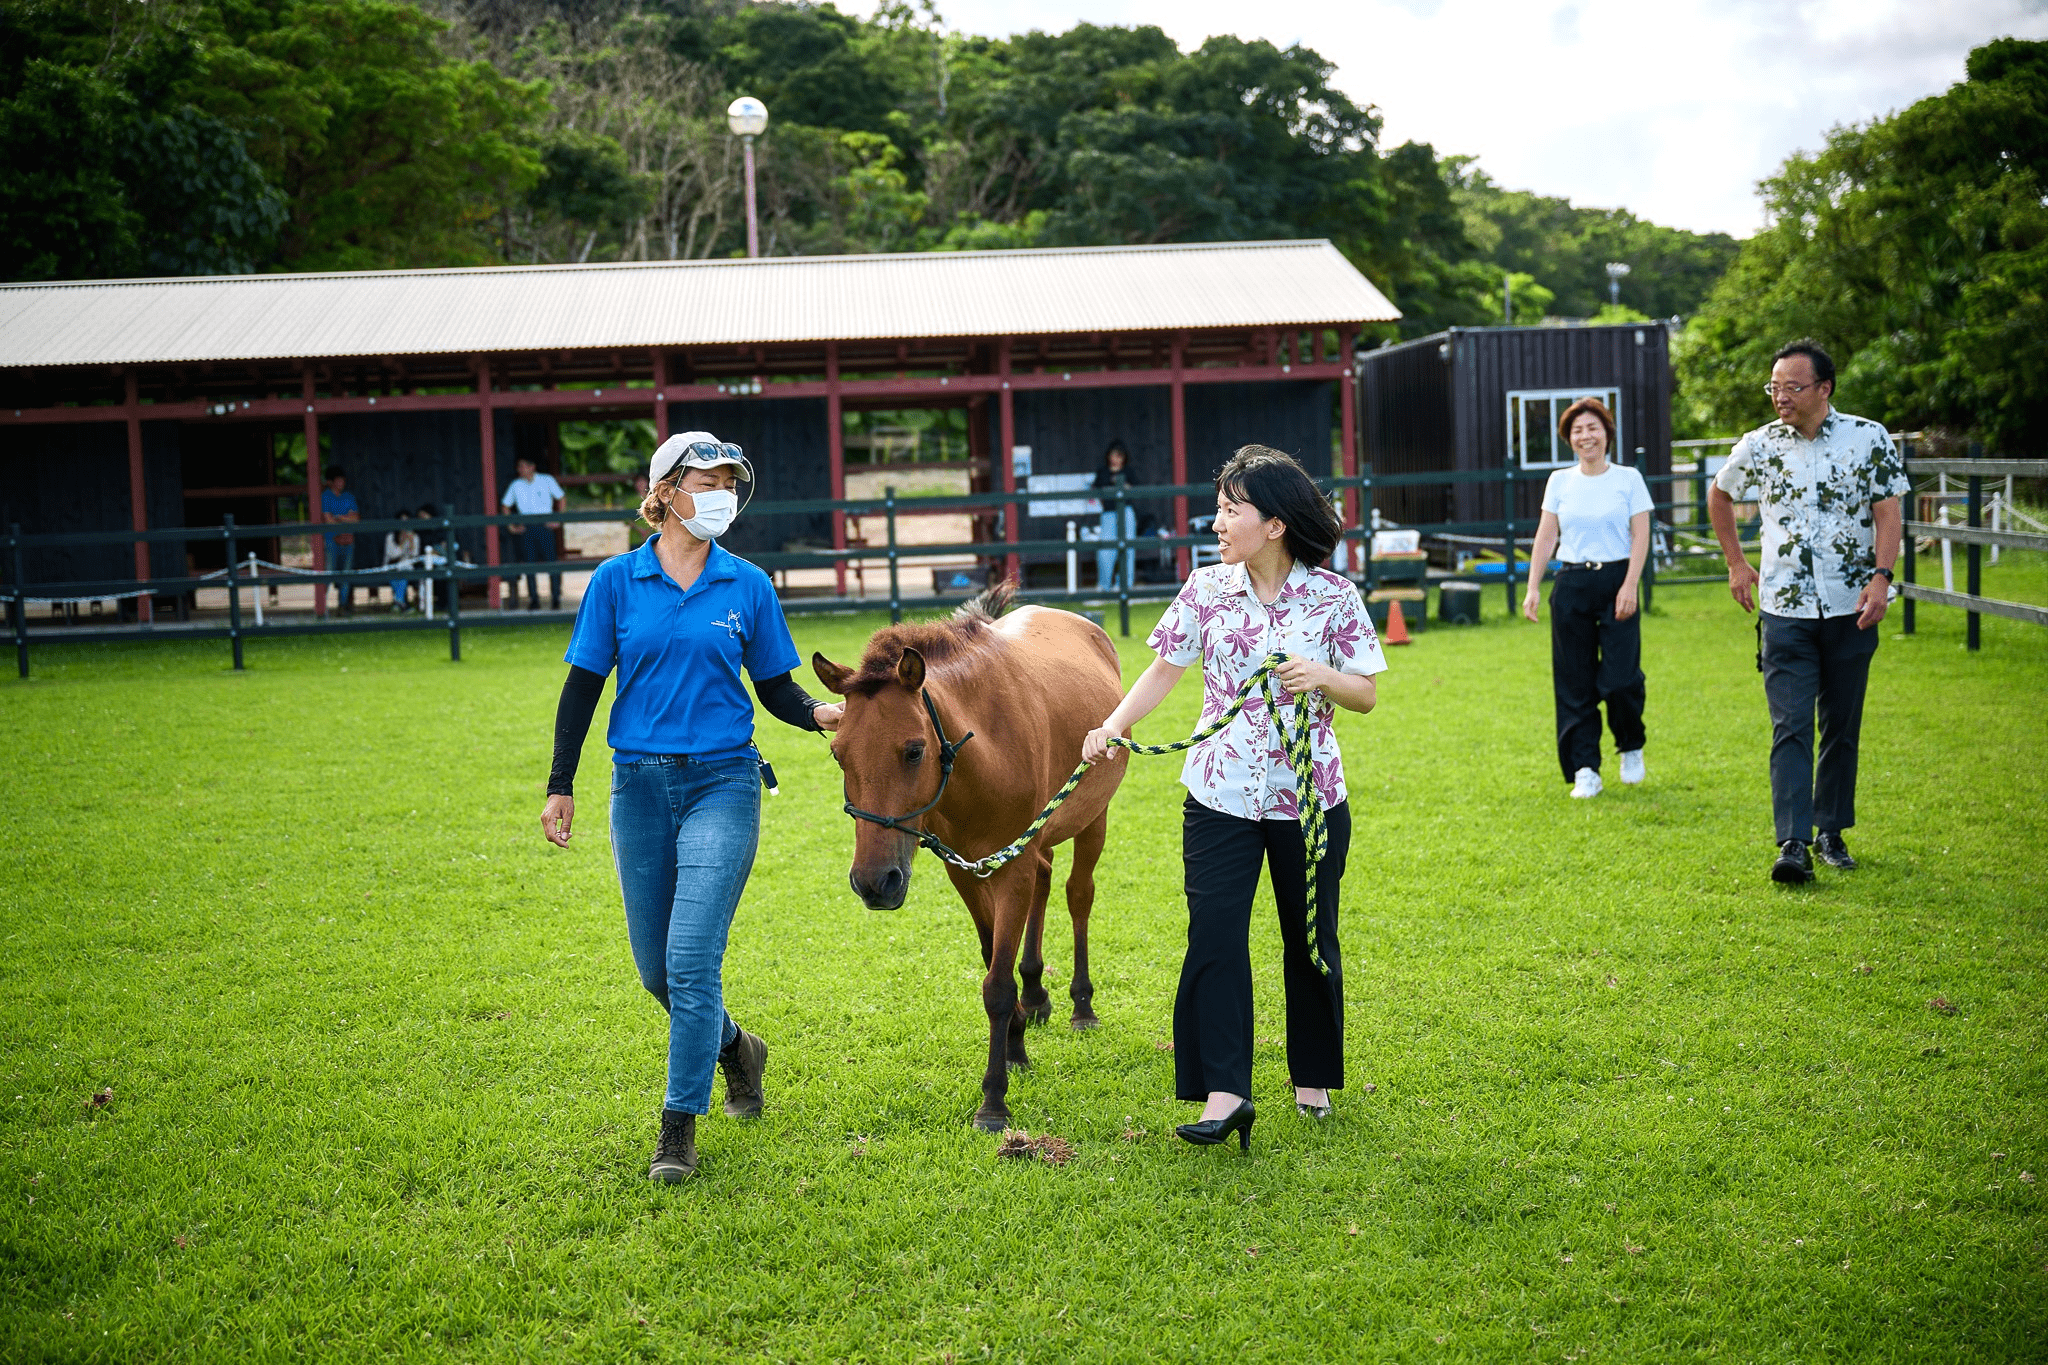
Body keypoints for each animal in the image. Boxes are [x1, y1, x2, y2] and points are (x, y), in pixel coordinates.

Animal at [815, 585, 1130, 1129]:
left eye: (914, 750)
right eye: (838, 754)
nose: (874, 882)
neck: (987, 753)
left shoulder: (1011, 867)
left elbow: (997, 985)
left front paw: (994, 1098)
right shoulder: (964, 869)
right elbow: (991, 961)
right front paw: (1017, 1042)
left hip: (1093, 819)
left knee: (1077, 895)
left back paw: (1081, 1004)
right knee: (1046, 881)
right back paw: (1037, 994)